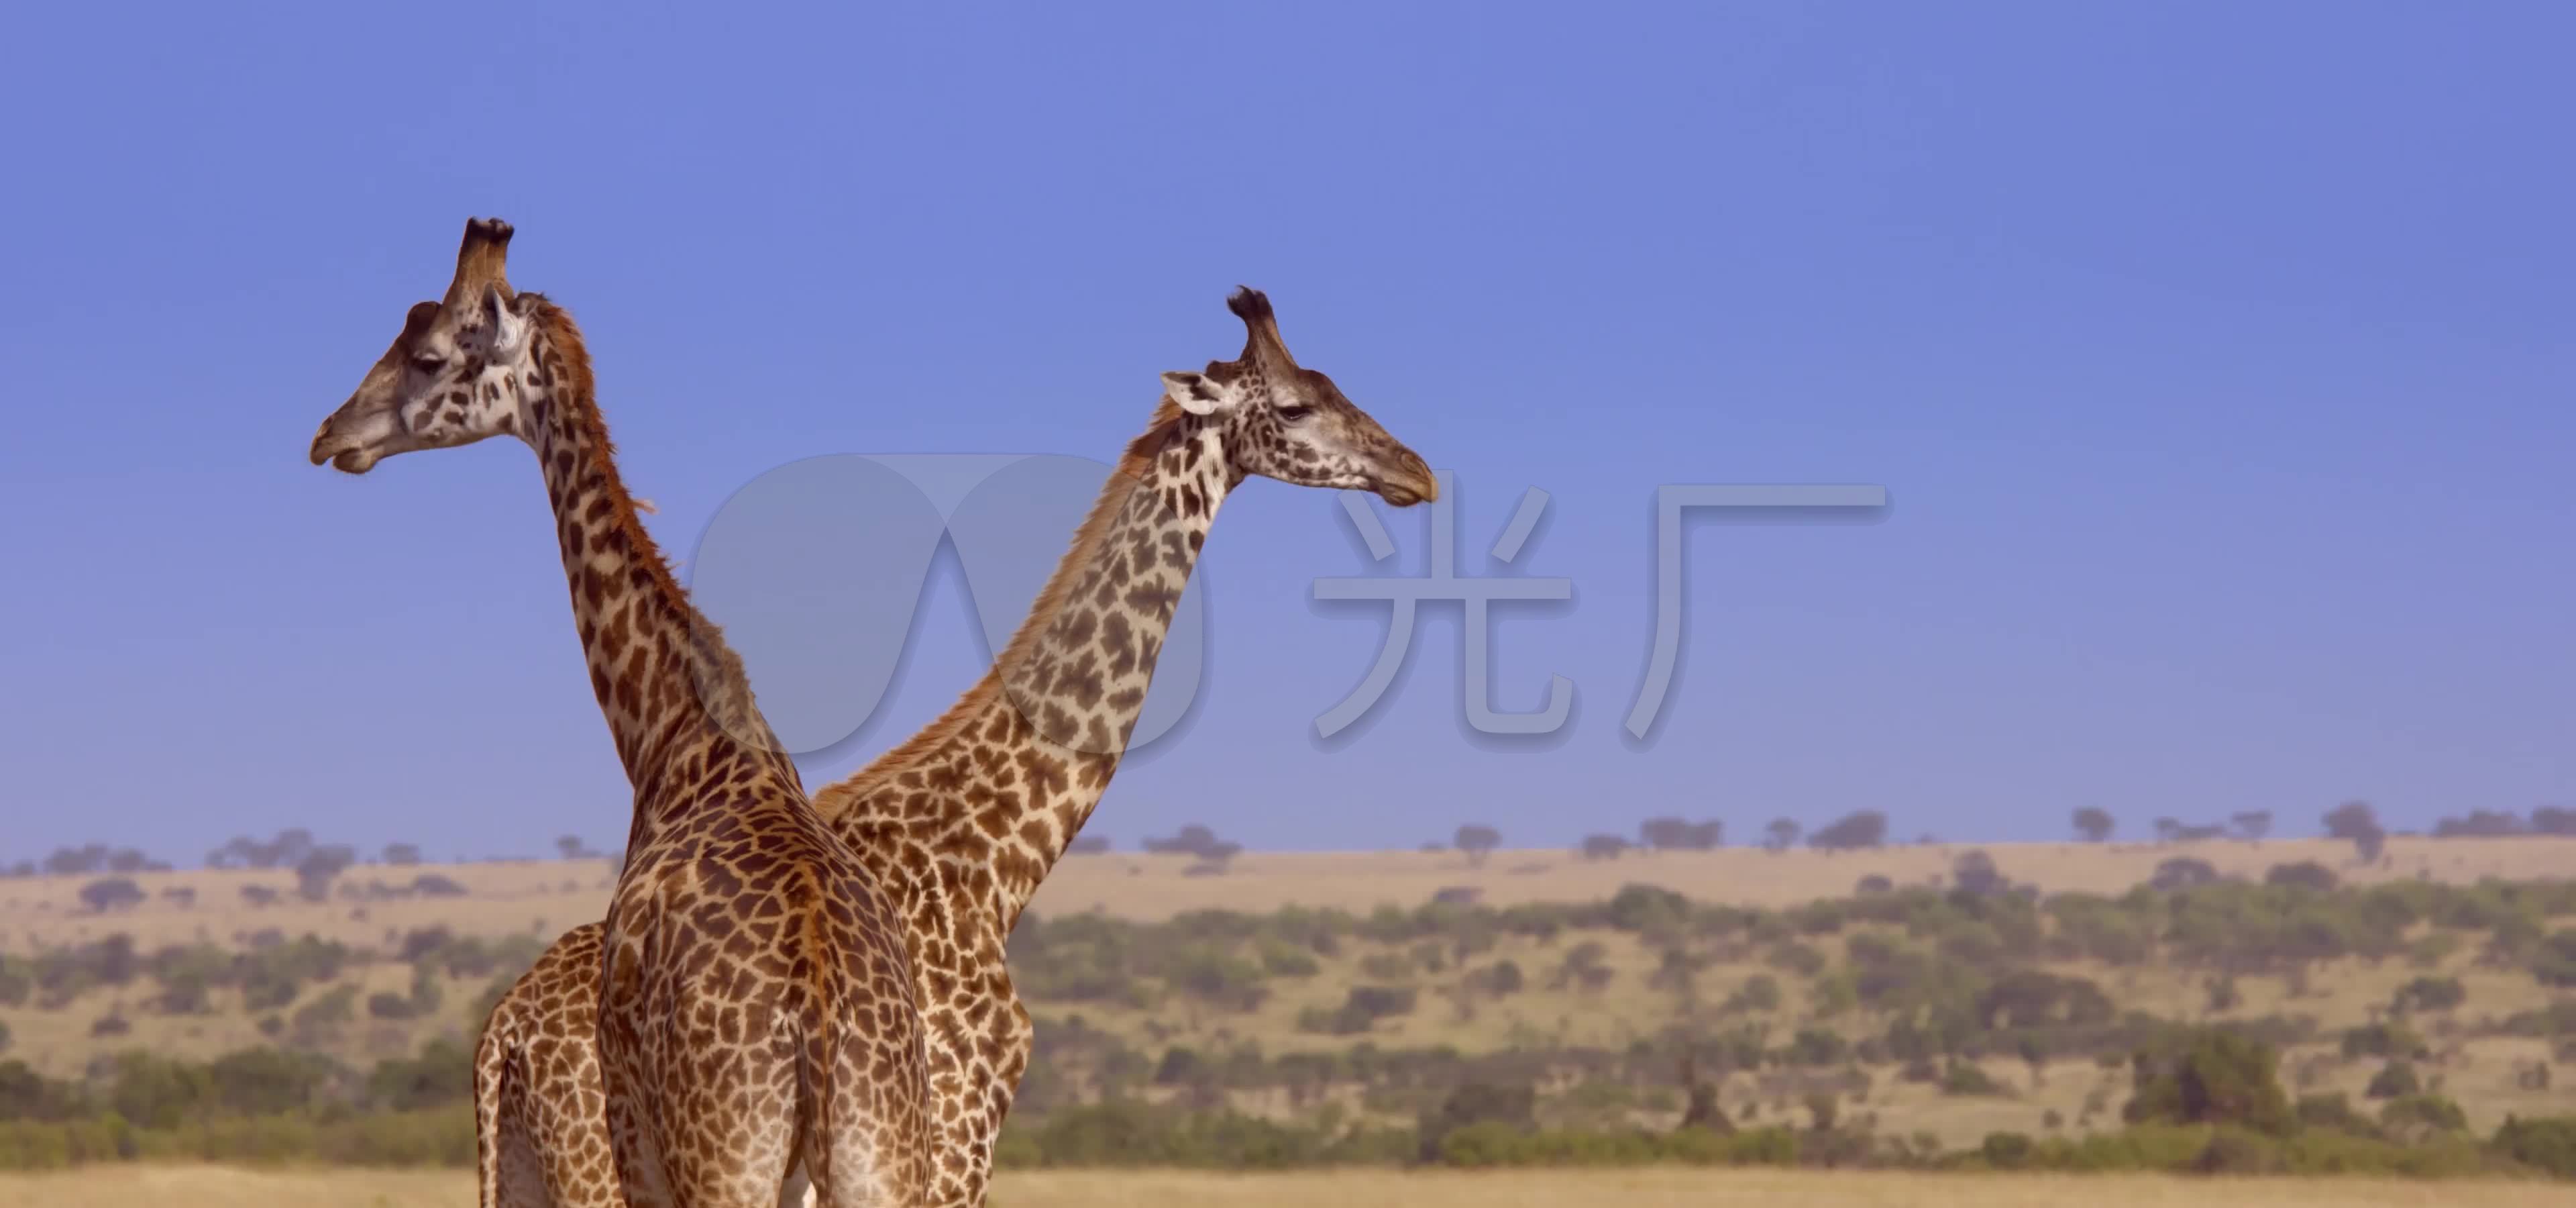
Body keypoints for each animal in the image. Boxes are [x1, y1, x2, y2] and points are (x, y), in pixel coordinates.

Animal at [309, 216, 937, 1205]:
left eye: (427, 354)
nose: (331, 434)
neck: (673, 736)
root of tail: (818, 1024)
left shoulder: (626, 1115)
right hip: (882, 1163)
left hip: (723, 1162)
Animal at [461, 285, 1432, 1205]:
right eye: (1299, 405)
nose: (1415, 472)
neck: (990, 861)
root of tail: (505, 1034)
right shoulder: (959, 1124)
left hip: (533, 1175)